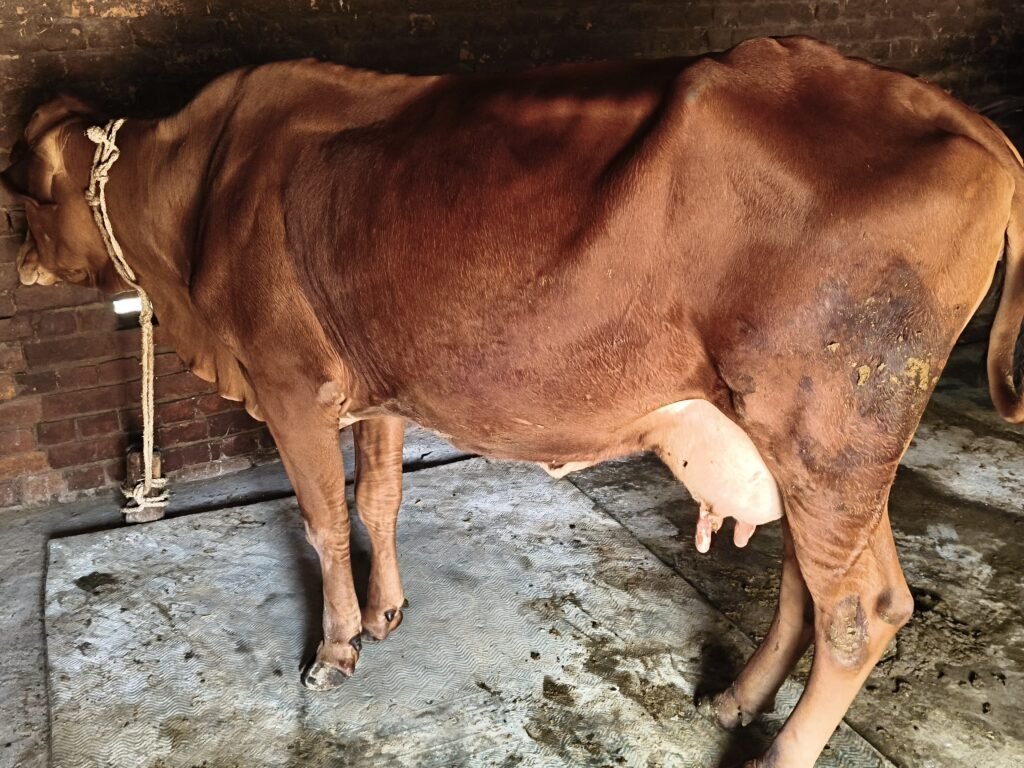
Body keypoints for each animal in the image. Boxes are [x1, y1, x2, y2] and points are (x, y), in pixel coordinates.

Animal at [3, 35, 1022, 768]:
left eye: (26, 198)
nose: (19, 261)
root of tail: (972, 125)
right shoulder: (381, 382)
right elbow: (380, 500)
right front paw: (387, 614)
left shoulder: (290, 385)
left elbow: (326, 522)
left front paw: (337, 648)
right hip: (825, 450)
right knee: (825, 585)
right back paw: (736, 697)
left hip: (829, 430)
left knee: (860, 611)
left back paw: (776, 751)